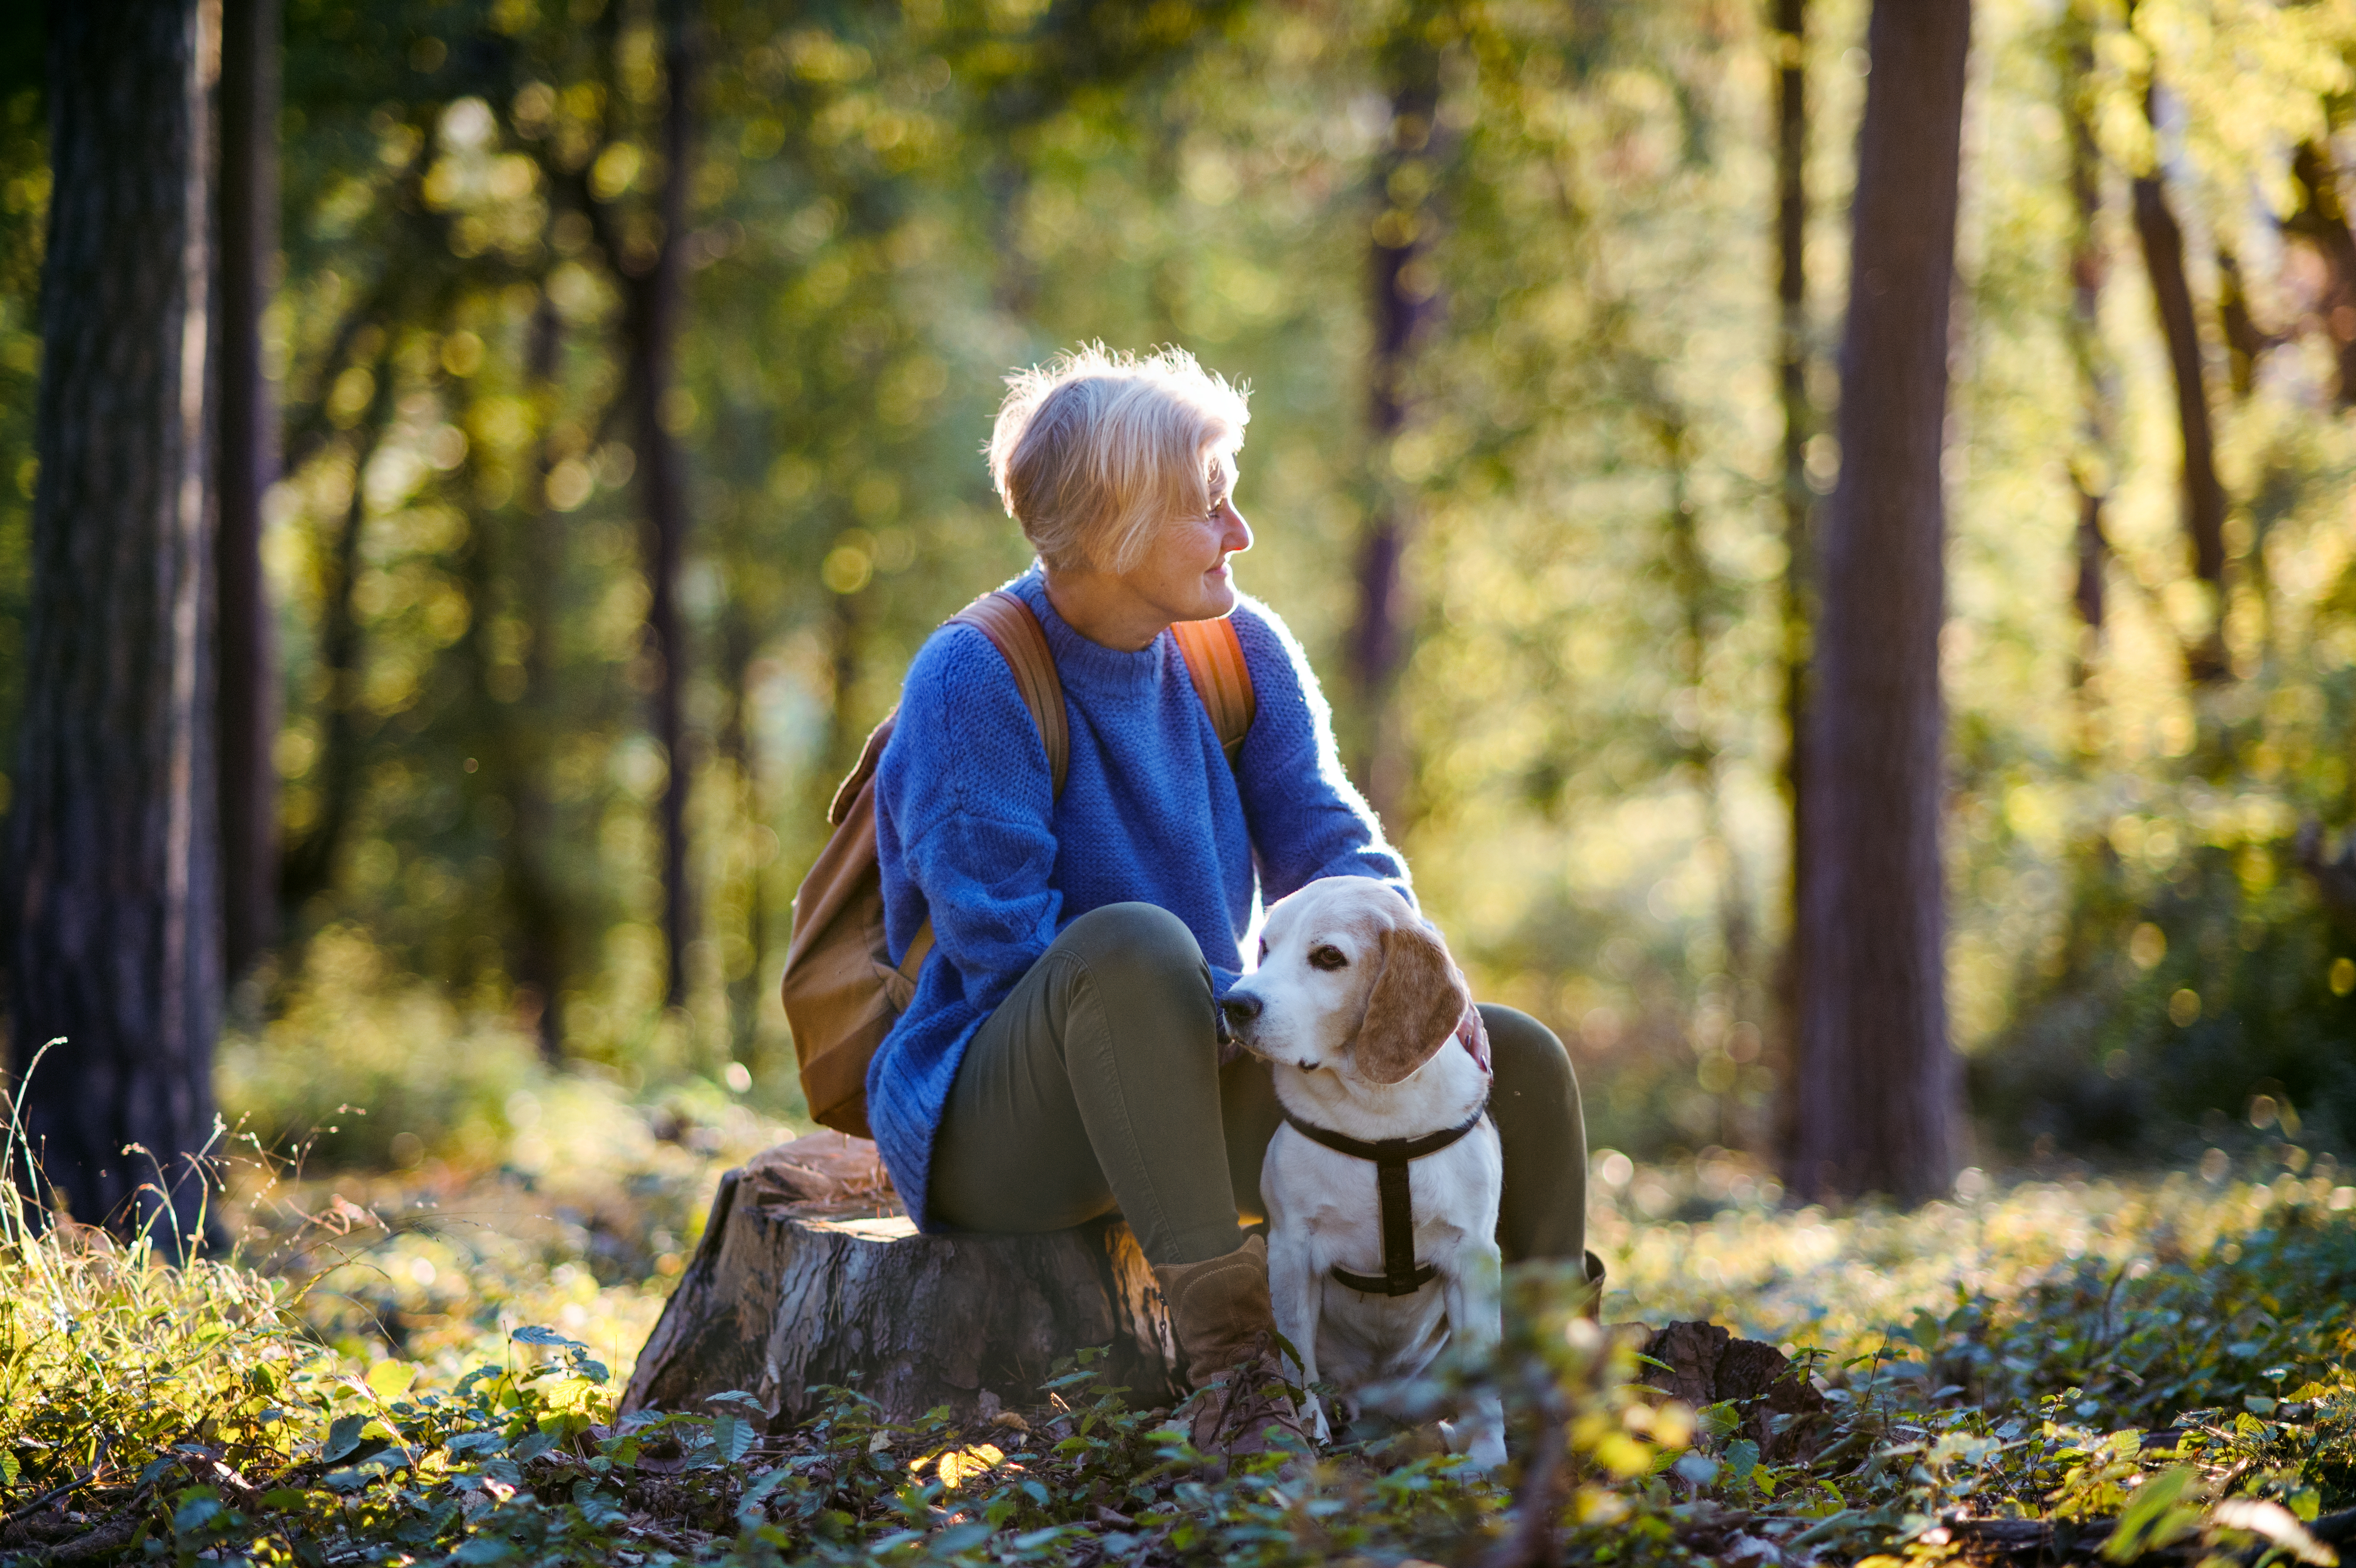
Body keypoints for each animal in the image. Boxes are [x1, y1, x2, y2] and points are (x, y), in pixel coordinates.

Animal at [1225, 871, 1498, 1459]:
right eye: (1265, 947)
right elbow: (1297, 1365)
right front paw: (1310, 1439)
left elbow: (1486, 1384)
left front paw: (1490, 1460)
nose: (1233, 1004)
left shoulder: (1474, 1257)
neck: (1378, 1118)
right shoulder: (1291, 1252)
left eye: (1329, 957)